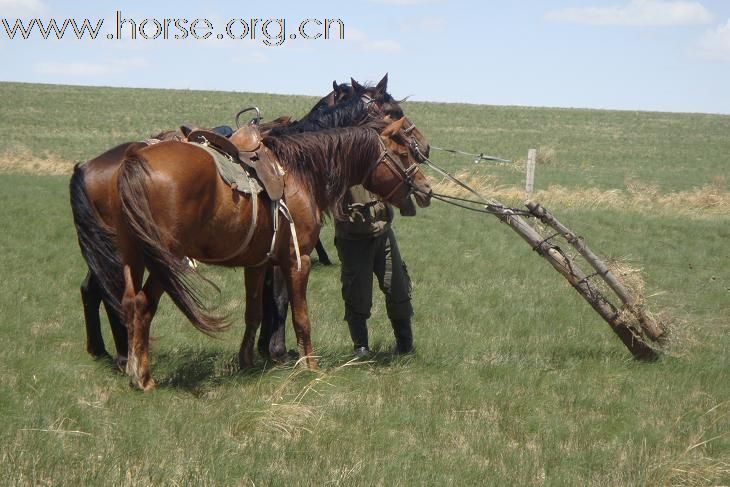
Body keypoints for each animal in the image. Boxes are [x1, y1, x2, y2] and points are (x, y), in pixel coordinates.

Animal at [101, 119, 432, 392]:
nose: (426, 188)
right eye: (403, 153)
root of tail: (135, 160)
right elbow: (301, 317)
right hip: (166, 262)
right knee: (143, 305)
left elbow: (254, 314)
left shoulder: (257, 265)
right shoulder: (298, 262)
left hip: (133, 256)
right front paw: (310, 366)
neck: (300, 174)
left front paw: (246, 361)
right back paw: (142, 378)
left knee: (128, 302)